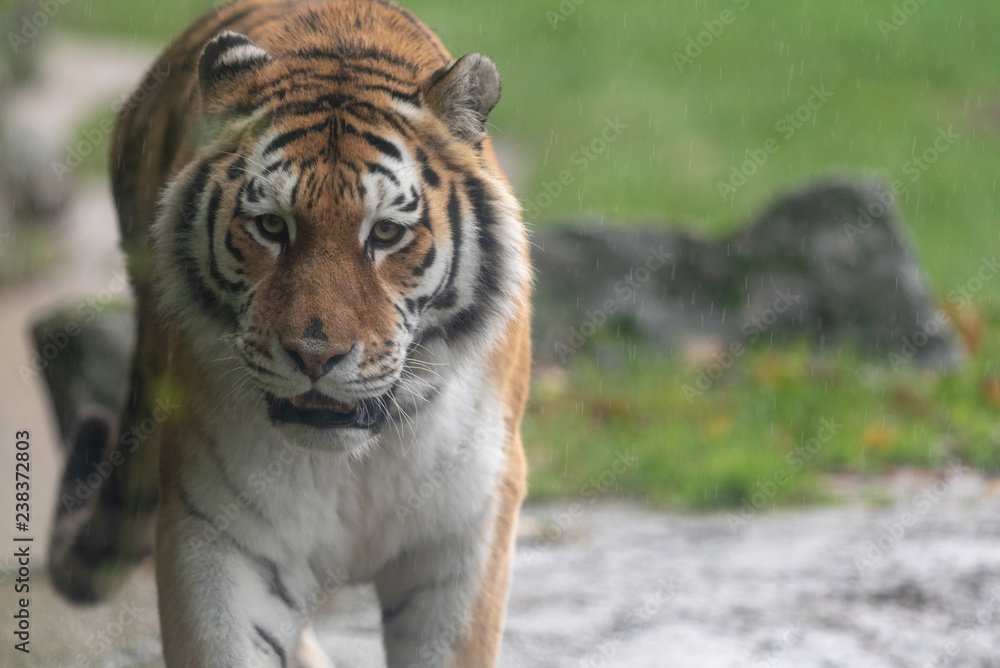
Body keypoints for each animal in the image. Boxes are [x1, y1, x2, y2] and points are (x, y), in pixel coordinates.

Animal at [46, 1, 532, 666]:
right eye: (272, 227)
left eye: (385, 233)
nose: (315, 355)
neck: (357, 458)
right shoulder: (219, 531)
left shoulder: (464, 538)